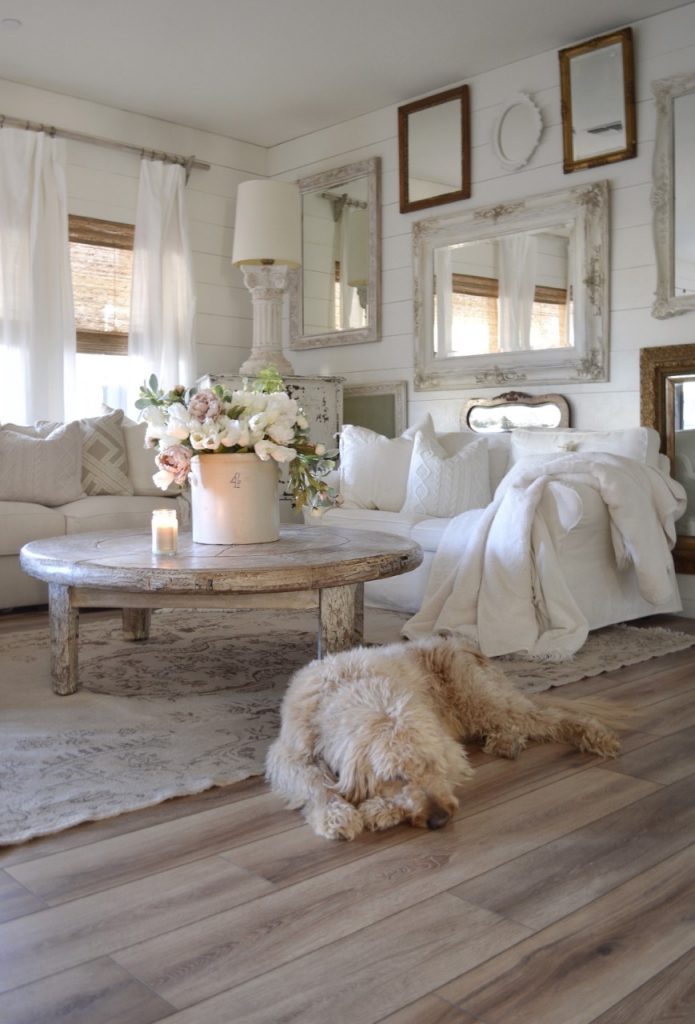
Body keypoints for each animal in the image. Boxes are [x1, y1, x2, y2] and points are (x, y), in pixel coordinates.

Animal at [264, 634, 618, 843]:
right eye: (395, 777)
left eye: (432, 766)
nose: (439, 819)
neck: (354, 686)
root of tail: (466, 644)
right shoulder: (290, 756)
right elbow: (315, 783)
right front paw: (337, 815)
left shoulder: (451, 752)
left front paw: (378, 810)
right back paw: (507, 742)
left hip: (480, 701)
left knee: (547, 717)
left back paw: (595, 735)